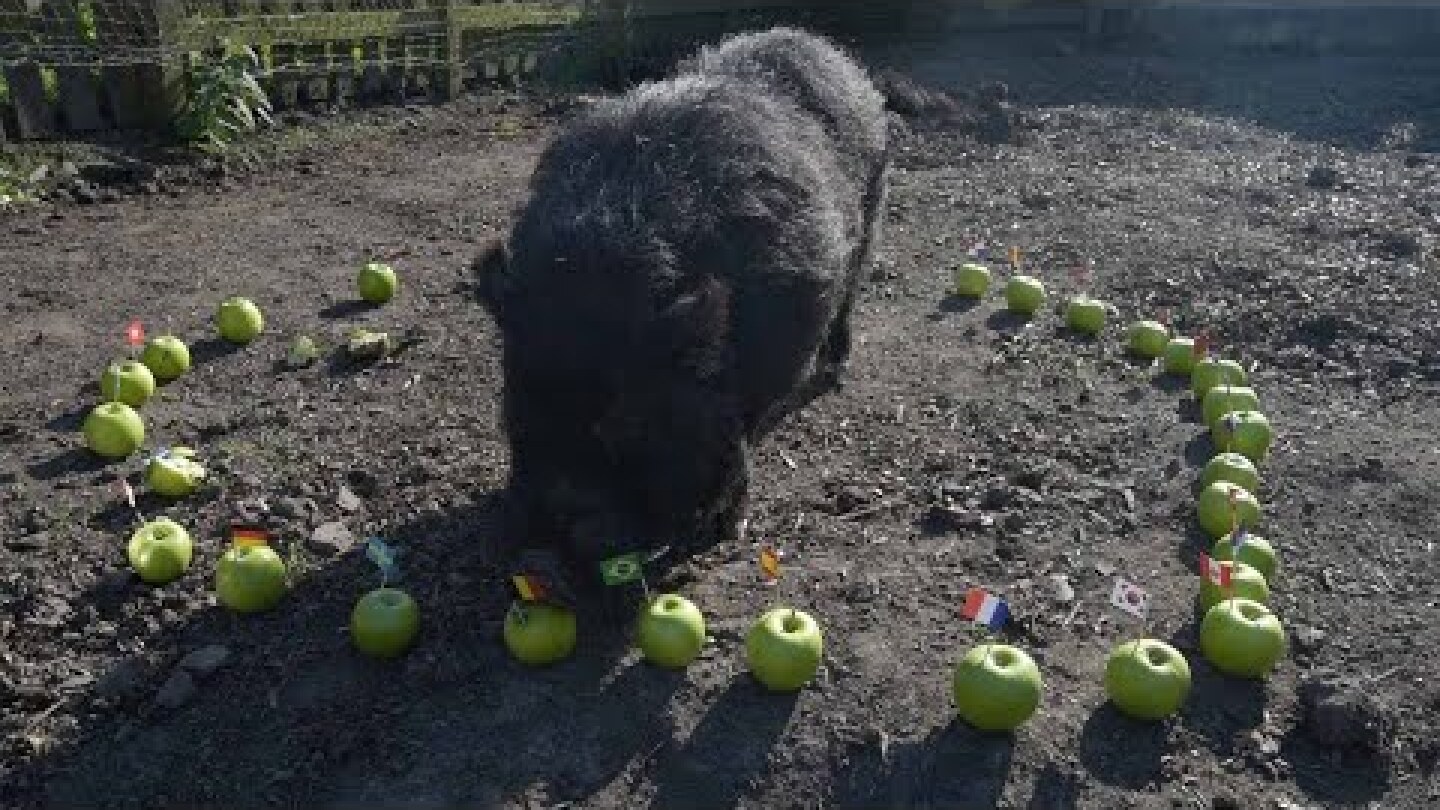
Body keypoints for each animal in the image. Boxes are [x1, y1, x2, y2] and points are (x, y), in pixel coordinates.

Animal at [475, 27, 891, 606]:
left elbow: (739, 436)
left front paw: (726, 528)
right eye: (516, 403)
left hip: (872, 212)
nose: (545, 552)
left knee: (849, 297)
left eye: (626, 421)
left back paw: (835, 372)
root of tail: (823, 48)